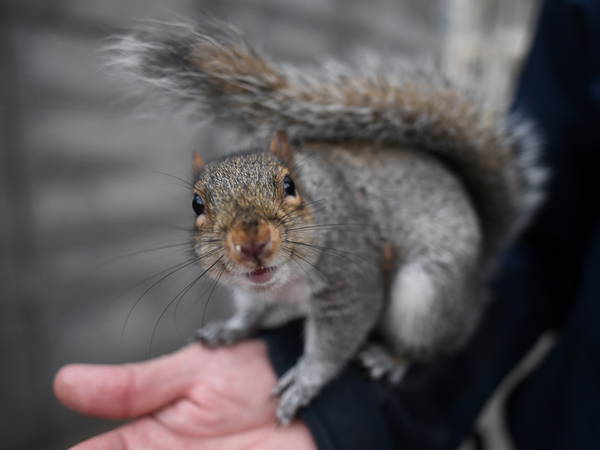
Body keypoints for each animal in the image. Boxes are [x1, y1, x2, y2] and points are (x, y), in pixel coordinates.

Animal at [106, 19, 544, 424]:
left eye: (289, 185)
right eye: (197, 204)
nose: (252, 243)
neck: (282, 286)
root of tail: (479, 276)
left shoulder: (352, 283)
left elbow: (332, 346)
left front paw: (304, 381)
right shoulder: (252, 292)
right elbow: (251, 311)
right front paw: (232, 328)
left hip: (428, 295)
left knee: (430, 345)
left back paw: (391, 357)